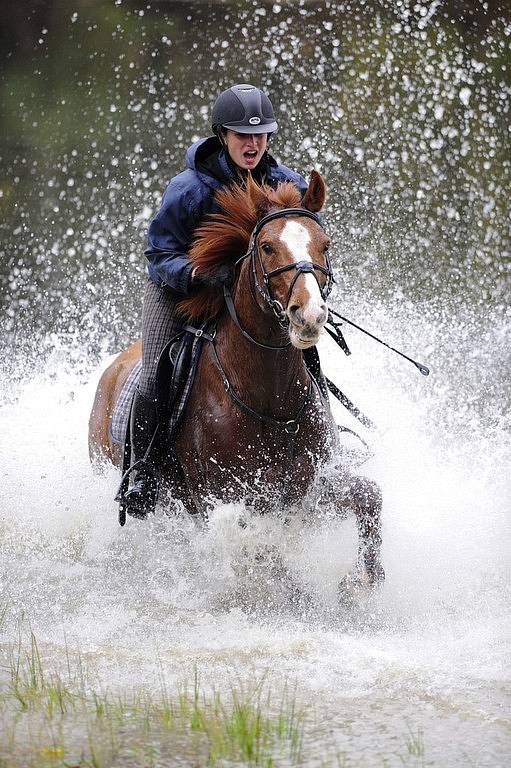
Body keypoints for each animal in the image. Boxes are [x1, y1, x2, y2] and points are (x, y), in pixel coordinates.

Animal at [89, 171, 384, 584]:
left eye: (325, 245)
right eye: (266, 247)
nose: (309, 314)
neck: (270, 400)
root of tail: (111, 370)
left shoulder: (310, 489)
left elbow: (370, 498)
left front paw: (358, 584)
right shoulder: (224, 502)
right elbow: (265, 552)